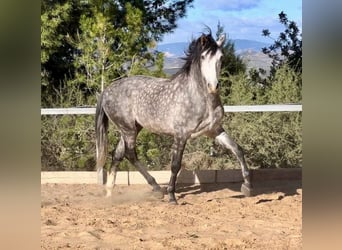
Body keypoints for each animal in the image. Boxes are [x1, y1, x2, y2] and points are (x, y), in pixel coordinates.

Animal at [95, 31, 252, 204]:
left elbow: (237, 149)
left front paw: (247, 187)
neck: (199, 98)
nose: (213, 86)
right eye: (203, 57)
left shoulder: (214, 130)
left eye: (221, 57)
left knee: (118, 154)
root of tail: (106, 91)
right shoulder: (181, 135)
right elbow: (176, 164)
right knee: (130, 154)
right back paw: (157, 189)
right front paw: (172, 196)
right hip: (128, 128)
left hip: (133, 127)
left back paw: (110, 192)